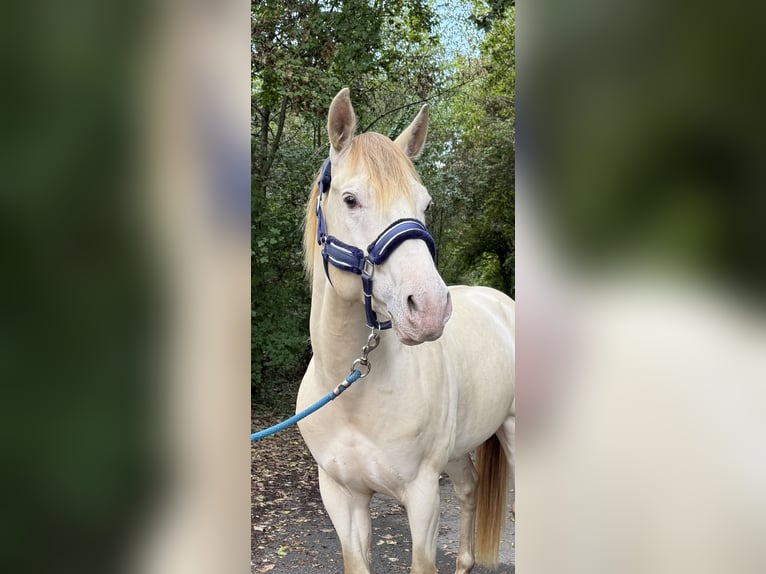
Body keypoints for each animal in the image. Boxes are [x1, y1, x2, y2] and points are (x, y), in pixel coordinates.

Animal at [296, 88, 515, 574]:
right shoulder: (342, 497)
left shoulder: (422, 495)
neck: (353, 393)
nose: (430, 308)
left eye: (425, 204)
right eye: (350, 199)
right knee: (469, 490)